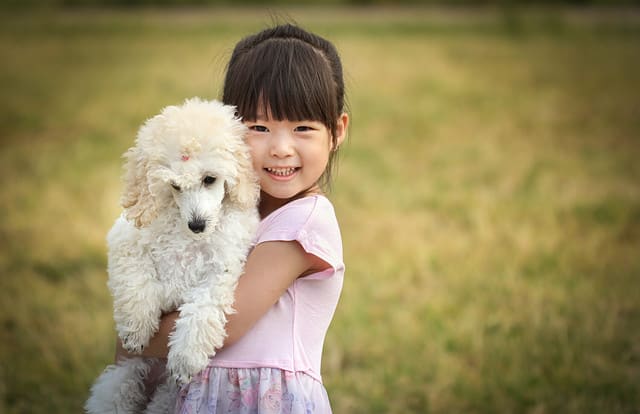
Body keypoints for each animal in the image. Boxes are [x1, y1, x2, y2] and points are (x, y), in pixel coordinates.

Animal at [85, 98, 260, 414]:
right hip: (120, 380)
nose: (197, 224)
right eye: (175, 186)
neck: (185, 234)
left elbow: (202, 309)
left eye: (209, 179)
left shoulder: (221, 269)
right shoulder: (125, 241)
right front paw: (136, 329)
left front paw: (186, 358)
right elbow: (135, 282)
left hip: (167, 397)